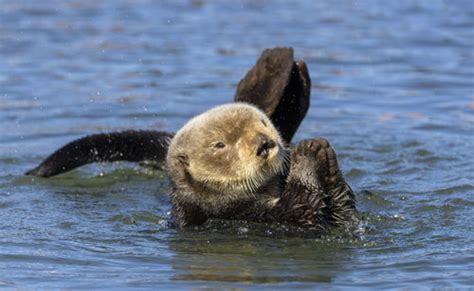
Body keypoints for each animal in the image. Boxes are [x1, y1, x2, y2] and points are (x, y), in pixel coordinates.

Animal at [167, 104, 356, 229]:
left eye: (264, 122)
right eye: (219, 144)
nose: (263, 143)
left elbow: (345, 217)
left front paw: (327, 161)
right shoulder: (231, 213)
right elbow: (302, 210)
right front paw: (308, 151)